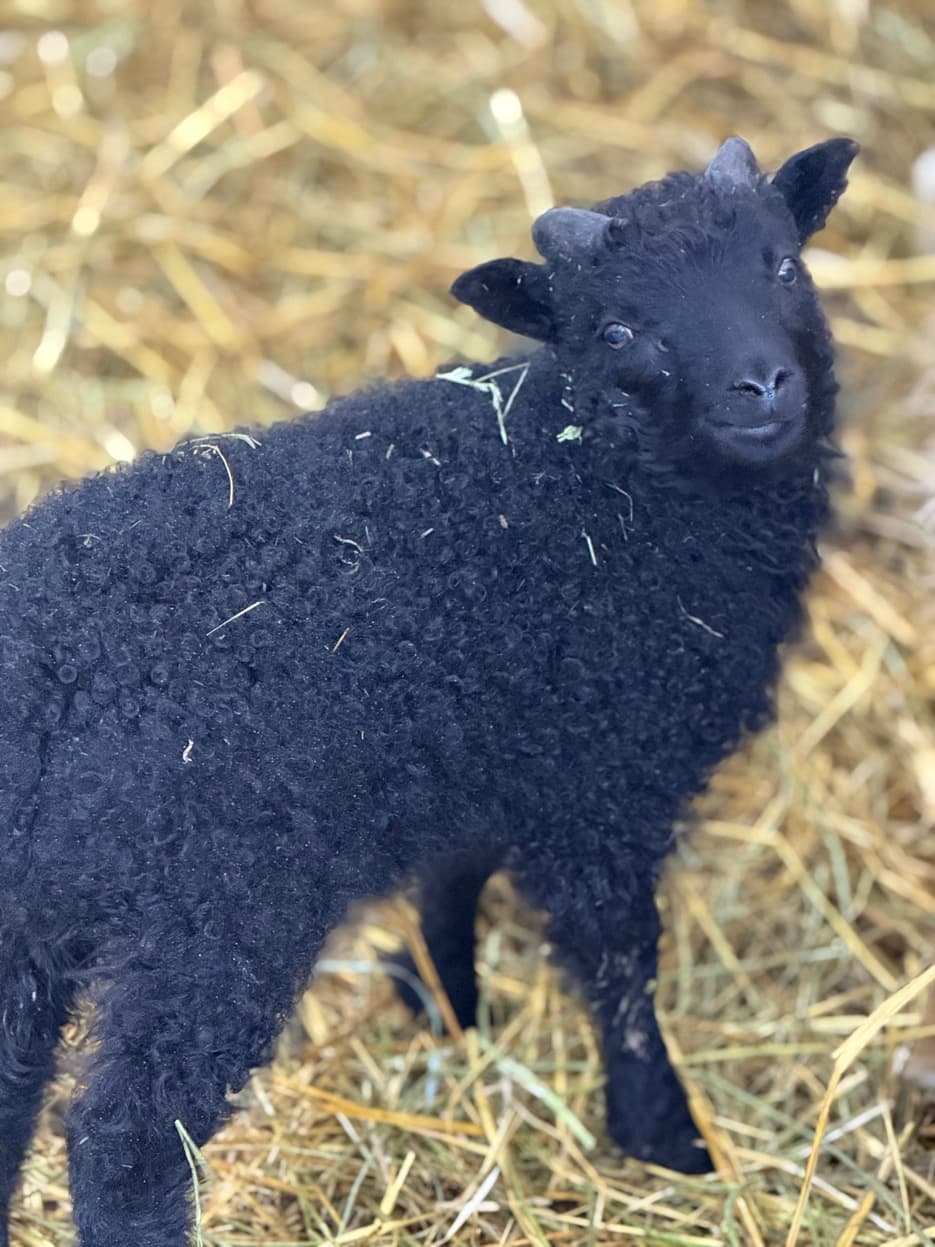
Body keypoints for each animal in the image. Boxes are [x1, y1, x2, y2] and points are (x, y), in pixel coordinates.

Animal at [0, 134, 857, 1245]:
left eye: (783, 264)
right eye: (617, 328)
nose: (760, 384)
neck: (581, 479)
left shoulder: (484, 745)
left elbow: (452, 872)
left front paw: (443, 995)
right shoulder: (600, 785)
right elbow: (616, 966)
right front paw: (662, 1134)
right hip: (214, 914)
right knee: (128, 1141)